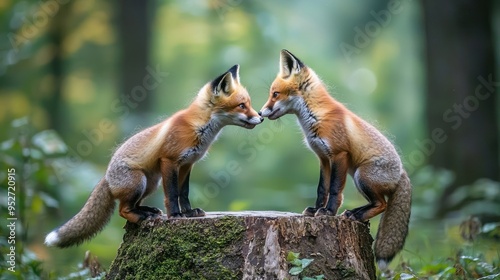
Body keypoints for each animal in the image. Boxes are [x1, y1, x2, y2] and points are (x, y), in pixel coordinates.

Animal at [45, 65, 264, 247]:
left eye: (248, 104)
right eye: (242, 105)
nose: (261, 117)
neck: (200, 129)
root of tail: (106, 177)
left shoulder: (187, 164)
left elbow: (184, 193)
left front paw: (189, 213)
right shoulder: (169, 161)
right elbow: (172, 194)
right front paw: (175, 215)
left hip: (150, 183)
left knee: (133, 205)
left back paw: (147, 211)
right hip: (139, 181)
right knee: (123, 210)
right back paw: (142, 217)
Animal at [260, 49, 412, 270]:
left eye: (275, 94)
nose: (260, 113)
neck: (315, 117)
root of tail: (402, 173)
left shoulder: (340, 155)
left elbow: (333, 189)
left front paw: (328, 211)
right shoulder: (323, 158)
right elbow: (321, 188)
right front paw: (316, 209)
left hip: (361, 176)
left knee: (382, 204)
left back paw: (357, 215)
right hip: (359, 179)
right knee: (376, 203)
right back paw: (353, 213)